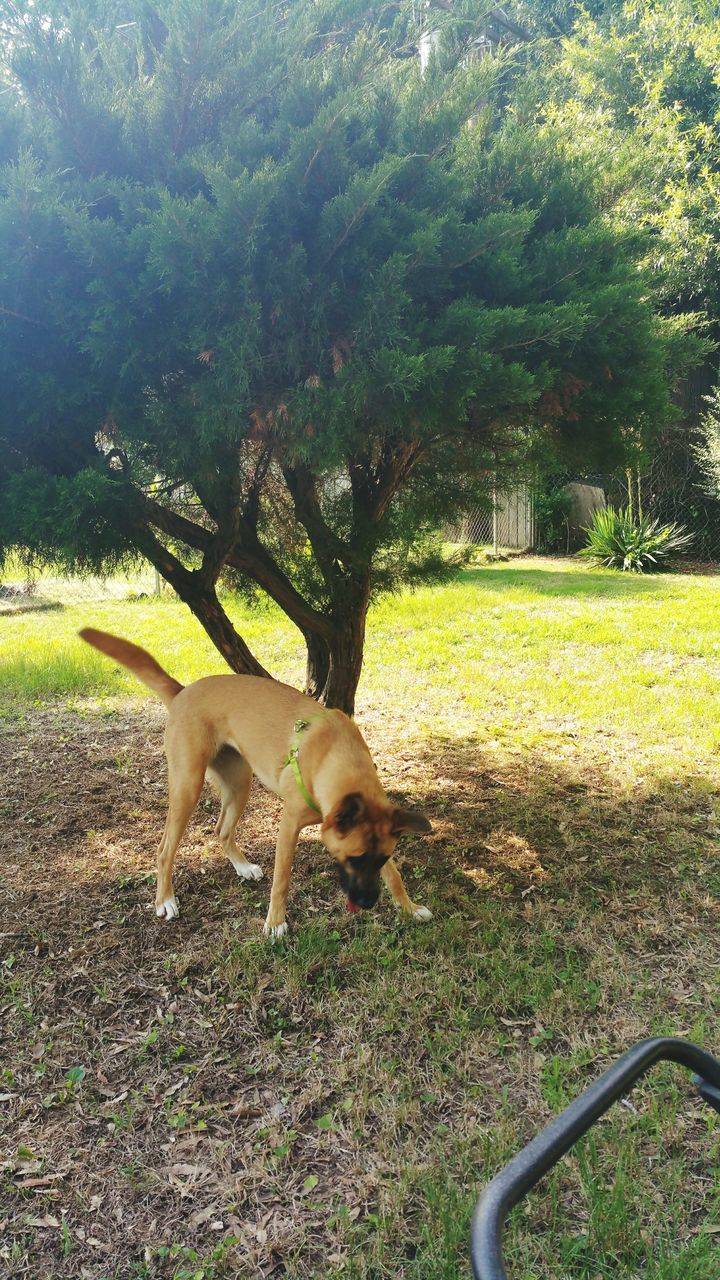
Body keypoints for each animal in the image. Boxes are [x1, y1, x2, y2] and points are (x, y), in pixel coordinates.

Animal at [78, 629, 430, 942]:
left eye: (380, 858)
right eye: (354, 858)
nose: (369, 903)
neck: (332, 755)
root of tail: (182, 691)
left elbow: (395, 876)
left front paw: (409, 907)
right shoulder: (288, 827)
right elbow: (282, 880)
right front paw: (275, 923)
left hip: (239, 784)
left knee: (221, 829)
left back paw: (242, 867)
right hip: (188, 786)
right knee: (165, 849)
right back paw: (165, 899)